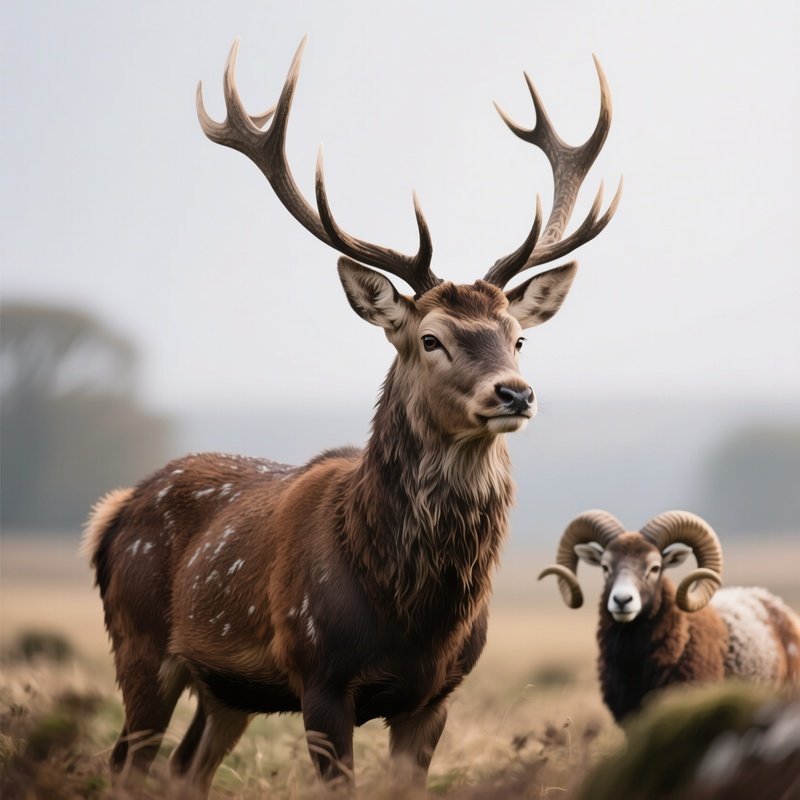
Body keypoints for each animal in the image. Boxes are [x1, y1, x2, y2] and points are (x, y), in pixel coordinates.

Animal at [83, 37, 620, 797]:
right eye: (431, 339)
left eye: (519, 336)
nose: (515, 394)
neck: (412, 613)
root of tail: (115, 511)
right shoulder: (322, 679)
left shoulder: (436, 695)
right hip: (139, 642)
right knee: (126, 763)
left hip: (227, 690)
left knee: (186, 769)